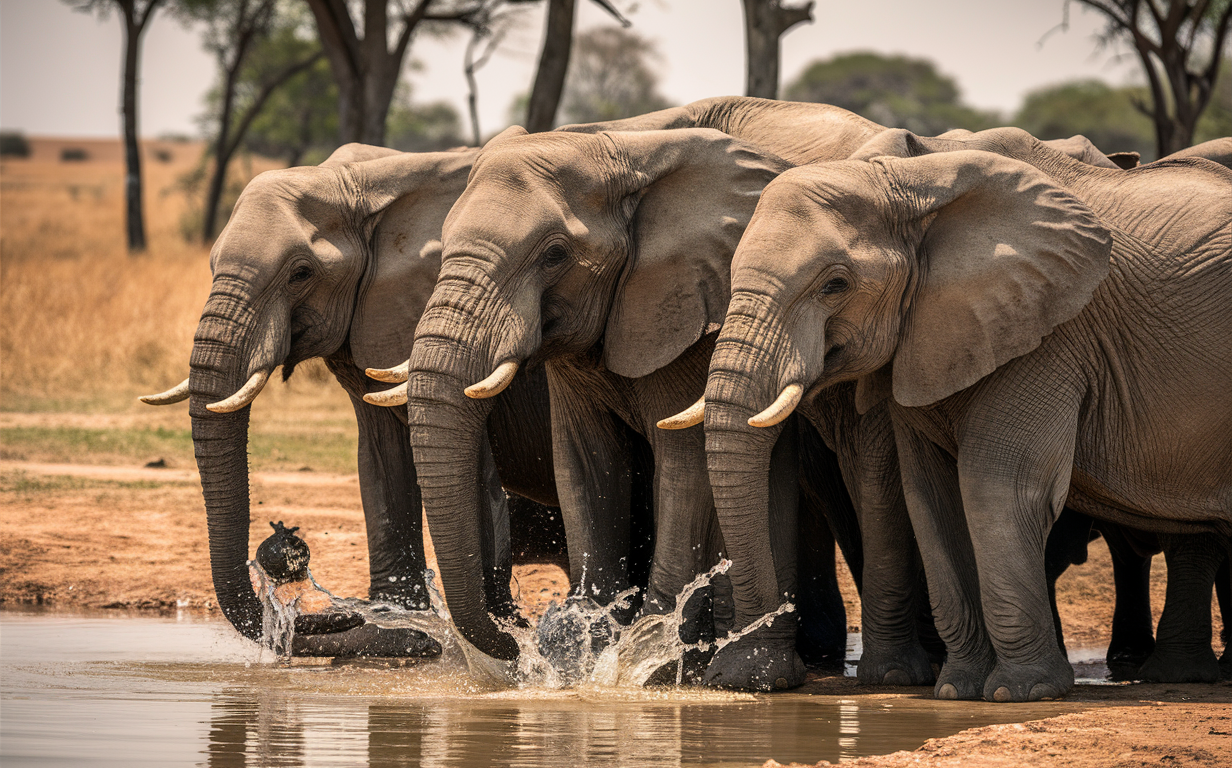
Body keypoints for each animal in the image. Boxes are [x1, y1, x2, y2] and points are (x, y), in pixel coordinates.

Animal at [139, 142, 559, 655]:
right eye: (212, 266)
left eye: (300, 273)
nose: (283, 551)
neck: (358, 182)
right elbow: (380, 454)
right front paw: (400, 622)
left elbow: (471, 468)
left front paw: (498, 635)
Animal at [694, 126, 1232, 705]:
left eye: (834, 285)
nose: (746, 681)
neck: (909, 181)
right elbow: (930, 496)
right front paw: (958, 689)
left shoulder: (1048, 328)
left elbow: (996, 486)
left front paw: (1022, 692)